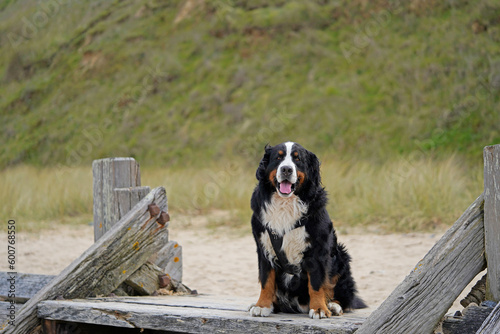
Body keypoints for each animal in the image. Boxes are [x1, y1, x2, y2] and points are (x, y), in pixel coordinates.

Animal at [248, 141, 366, 318]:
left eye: (298, 159)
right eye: (278, 157)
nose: (286, 169)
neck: (285, 204)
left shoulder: (318, 250)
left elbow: (316, 283)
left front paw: (319, 308)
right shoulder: (264, 247)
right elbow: (266, 280)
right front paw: (262, 305)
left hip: (341, 259)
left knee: (344, 296)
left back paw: (333, 305)